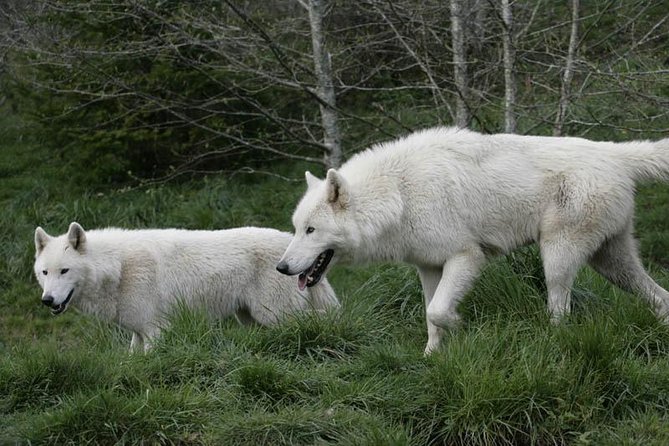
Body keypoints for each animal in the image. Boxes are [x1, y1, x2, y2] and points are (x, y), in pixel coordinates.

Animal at [35, 223, 340, 352]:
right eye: (44, 272)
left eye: (65, 271)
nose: (47, 300)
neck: (119, 268)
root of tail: (288, 243)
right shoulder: (138, 332)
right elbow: (131, 360)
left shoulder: (157, 330)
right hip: (252, 319)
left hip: (275, 315)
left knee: (321, 319)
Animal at [276, 127, 668, 354]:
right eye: (295, 228)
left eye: (310, 230)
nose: (281, 267)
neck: (398, 194)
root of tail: (614, 152)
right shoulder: (428, 268)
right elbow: (430, 315)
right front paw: (432, 357)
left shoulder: (466, 256)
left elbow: (438, 311)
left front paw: (460, 326)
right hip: (612, 263)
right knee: (659, 294)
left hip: (557, 259)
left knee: (561, 308)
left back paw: (554, 339)